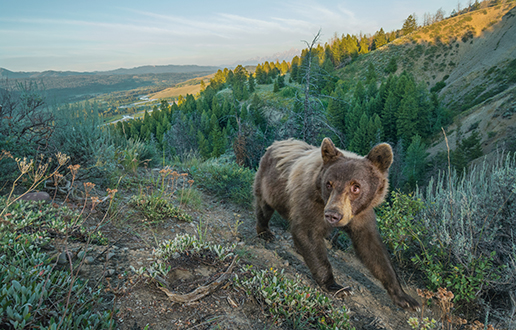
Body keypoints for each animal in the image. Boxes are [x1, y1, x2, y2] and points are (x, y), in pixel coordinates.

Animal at [253, 136, 420, 310]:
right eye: (329, 184)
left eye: (356, 187)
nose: (333, 215)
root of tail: (276, 143)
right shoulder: (310, 201)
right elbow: (307, 231)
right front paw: (336, 287)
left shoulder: (361, 215)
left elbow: (372, 249)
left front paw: (405, 298)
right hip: (268, 181)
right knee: (264, 207)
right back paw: (265, 232)